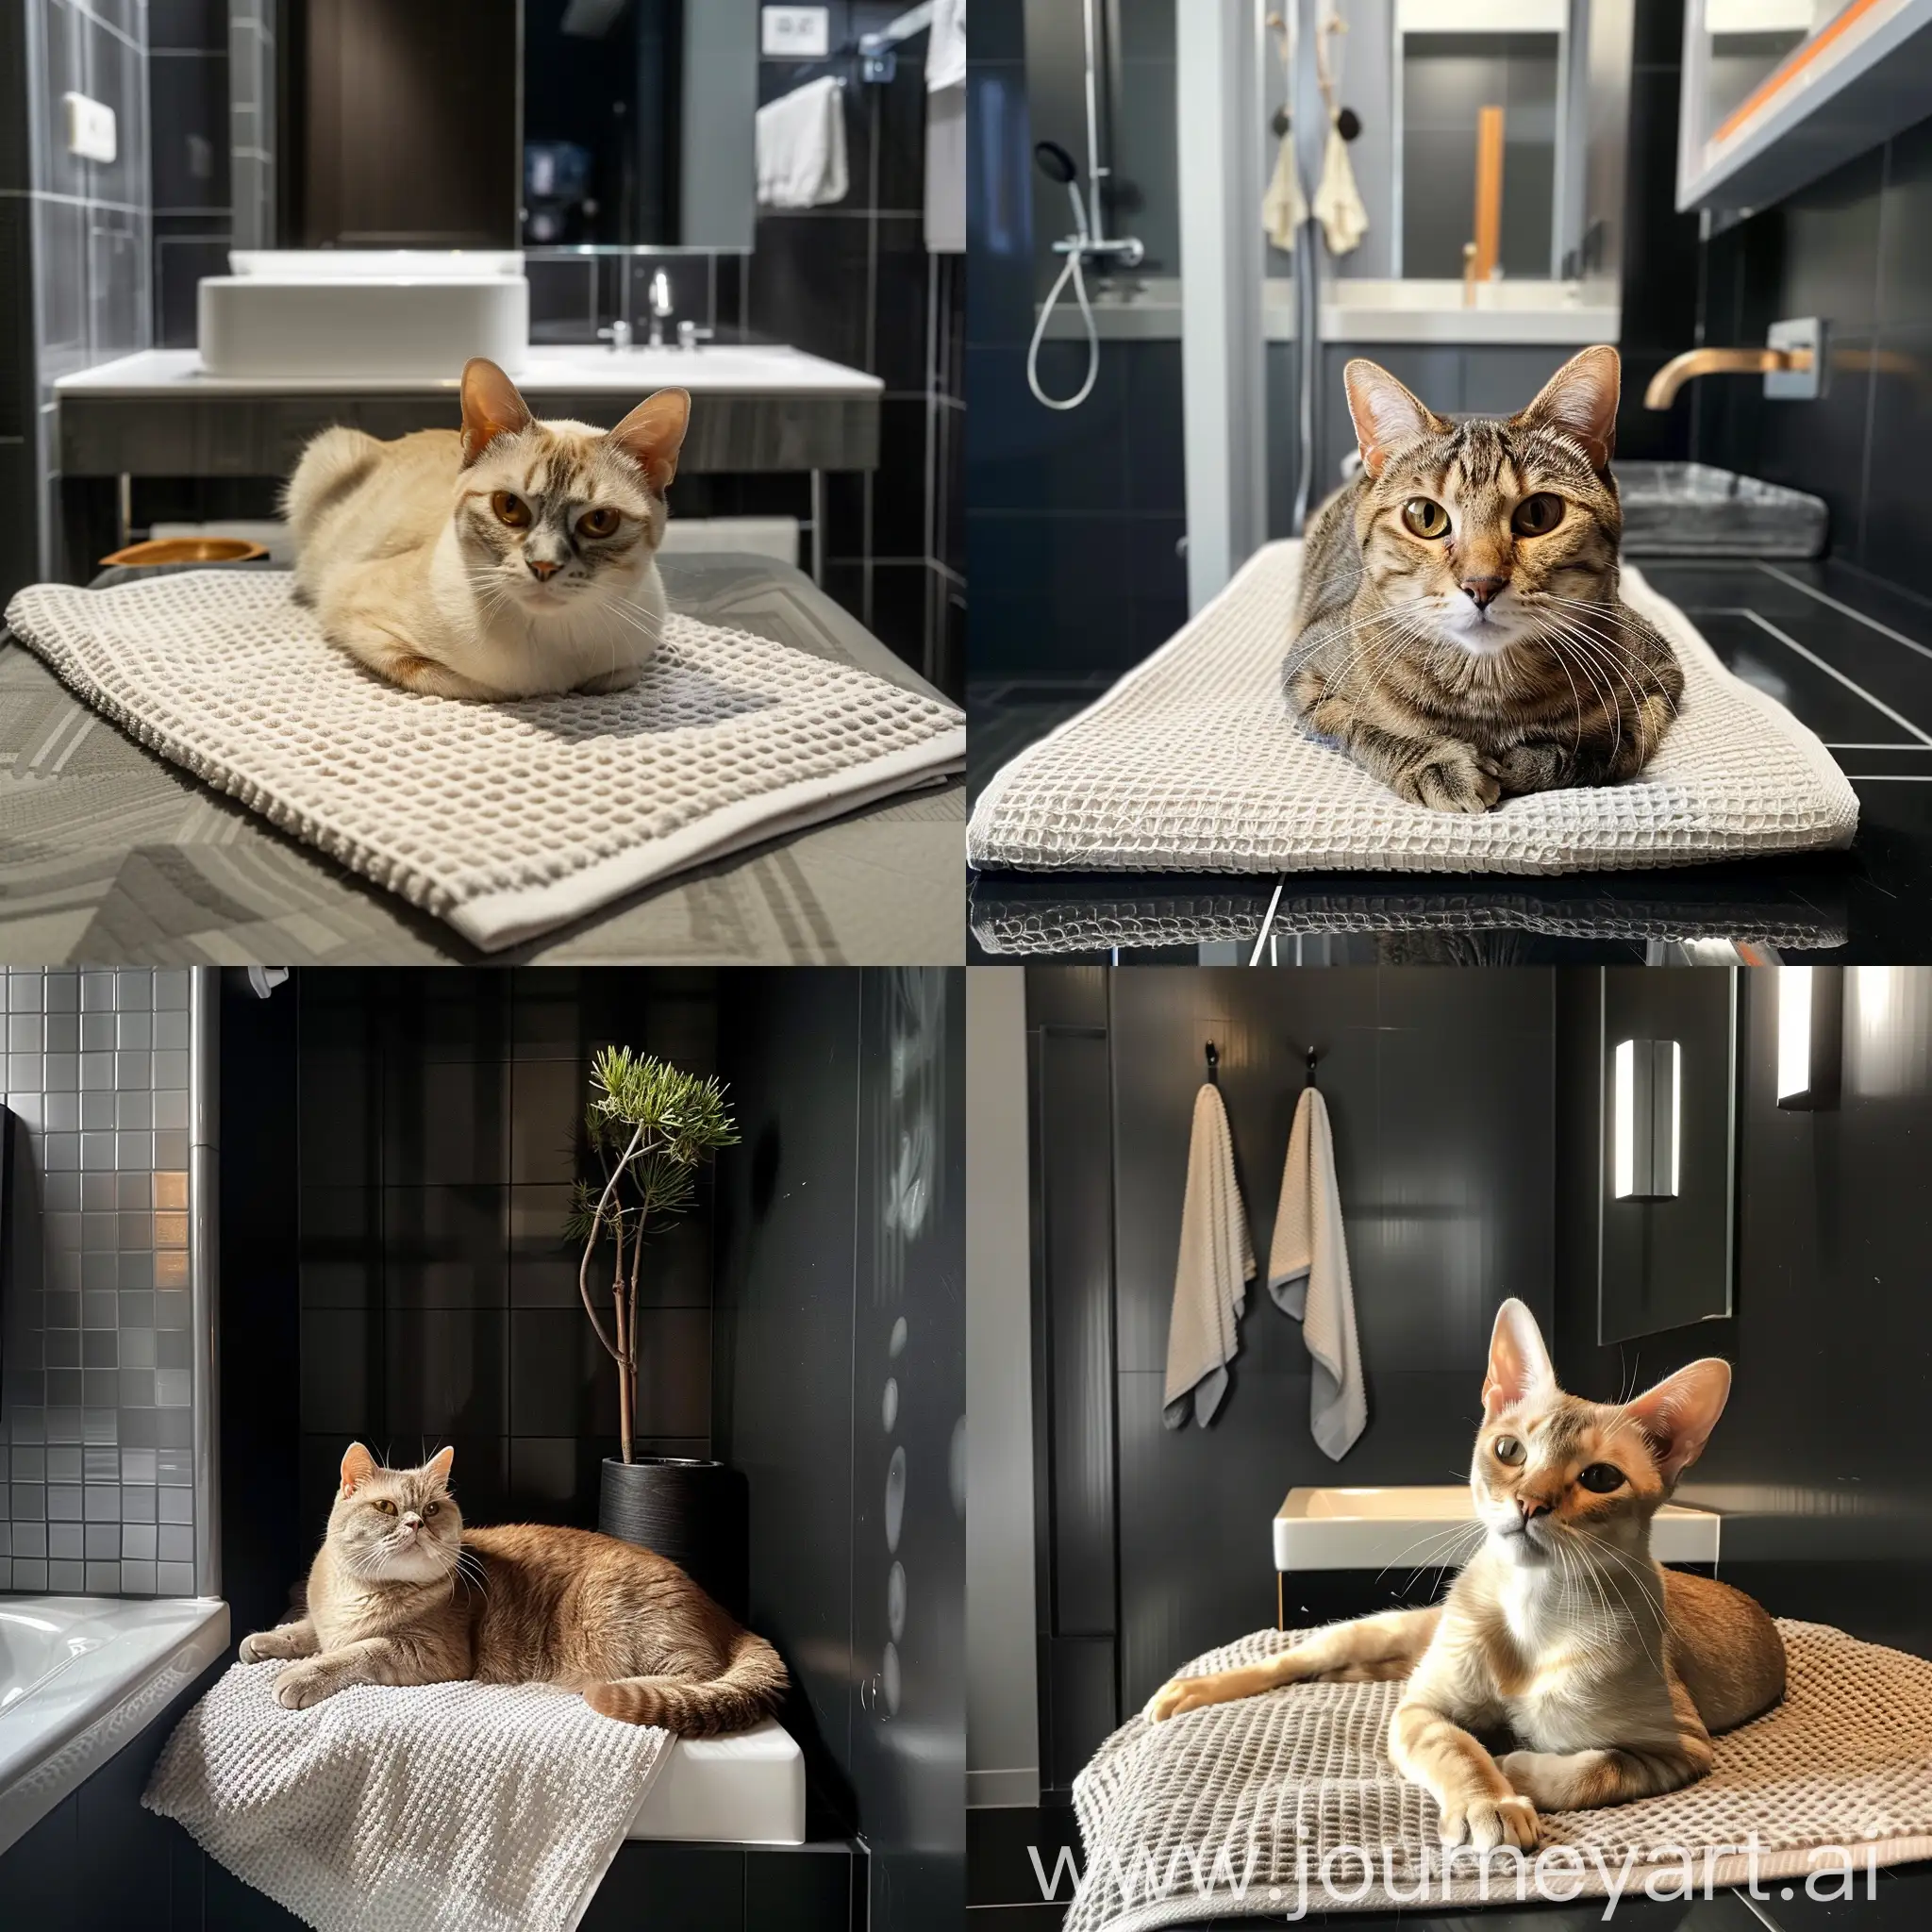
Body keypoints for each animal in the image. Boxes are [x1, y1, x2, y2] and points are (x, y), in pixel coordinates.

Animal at [239, 1437, 784, 1739]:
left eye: (432, 1508)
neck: (360, 1593)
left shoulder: (431, 1653)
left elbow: (356, 1651)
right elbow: (305, 1630)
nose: (416, 1523)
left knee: (695, 1675)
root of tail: (728, 1619)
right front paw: (265, 1641)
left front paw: (300, 1675)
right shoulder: (325, 1620)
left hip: (616, 1615)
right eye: (387, 1508)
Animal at [279, 355, 688, 703]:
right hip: (327, 453)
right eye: (510, 507)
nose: (543, 566)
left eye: (599, 522)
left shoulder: (632, 659)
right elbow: (473, 685)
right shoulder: (355, 614)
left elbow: (617, 676)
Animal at [1136, 1298, 1785, 1855]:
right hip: (1375, 1634)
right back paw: (1185, 1692)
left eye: (1600, 1478)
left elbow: (1593, 1769)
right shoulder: (1421, 1711)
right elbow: (1458, 1748)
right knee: (1291, 1661)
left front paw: (1516, 1764)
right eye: (1509, 1450)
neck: (1531, 1611)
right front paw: (1489, 1802)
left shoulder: (1680, 1748)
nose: (1530, 1504)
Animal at [1291, 343, 1684, 811]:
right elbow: (1360, 726)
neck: (1487, 691)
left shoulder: (1661, 679)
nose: (1481, 585)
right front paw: (1434, 761)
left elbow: (1615, 747)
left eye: (1539, 514)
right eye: (1425, 516)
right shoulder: (1306, 673)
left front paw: (1527, 762)